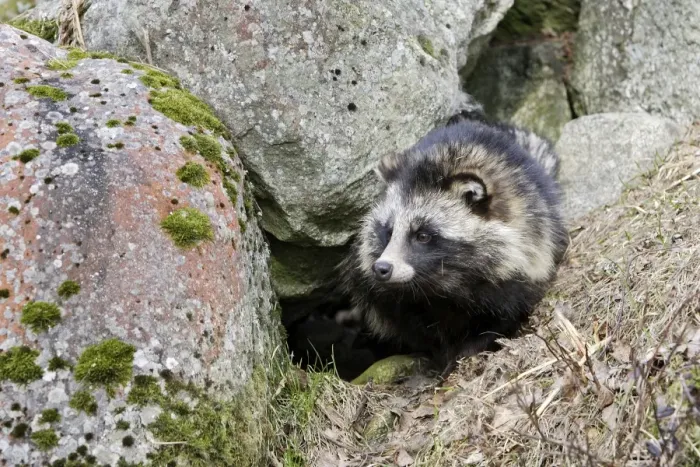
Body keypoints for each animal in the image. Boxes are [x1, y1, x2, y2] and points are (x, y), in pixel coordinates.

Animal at [338, 112, 569, 376]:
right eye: (388, 231)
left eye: (423, 235)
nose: (382, 268)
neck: (439, 285)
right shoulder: (394, 299)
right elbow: (418, 328)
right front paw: (441, 354)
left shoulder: (524, 260)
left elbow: (505, 312)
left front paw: (469, 348)